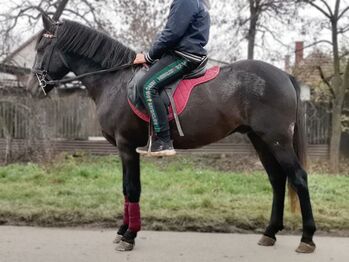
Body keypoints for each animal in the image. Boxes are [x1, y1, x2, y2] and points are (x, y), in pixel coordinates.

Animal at [27, 14, 316, 254]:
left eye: (41, 48)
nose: (33, 87)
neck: (115, 82)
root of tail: (284, 76)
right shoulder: (124, 149)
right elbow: (125, 189)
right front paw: (123, 230)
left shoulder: (127, 146)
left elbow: (132, 188)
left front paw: (129, 236)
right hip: (260, 140)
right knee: (277, 180)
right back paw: (270, 233)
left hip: (277, 140)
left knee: (298, 178)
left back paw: (307, 238)